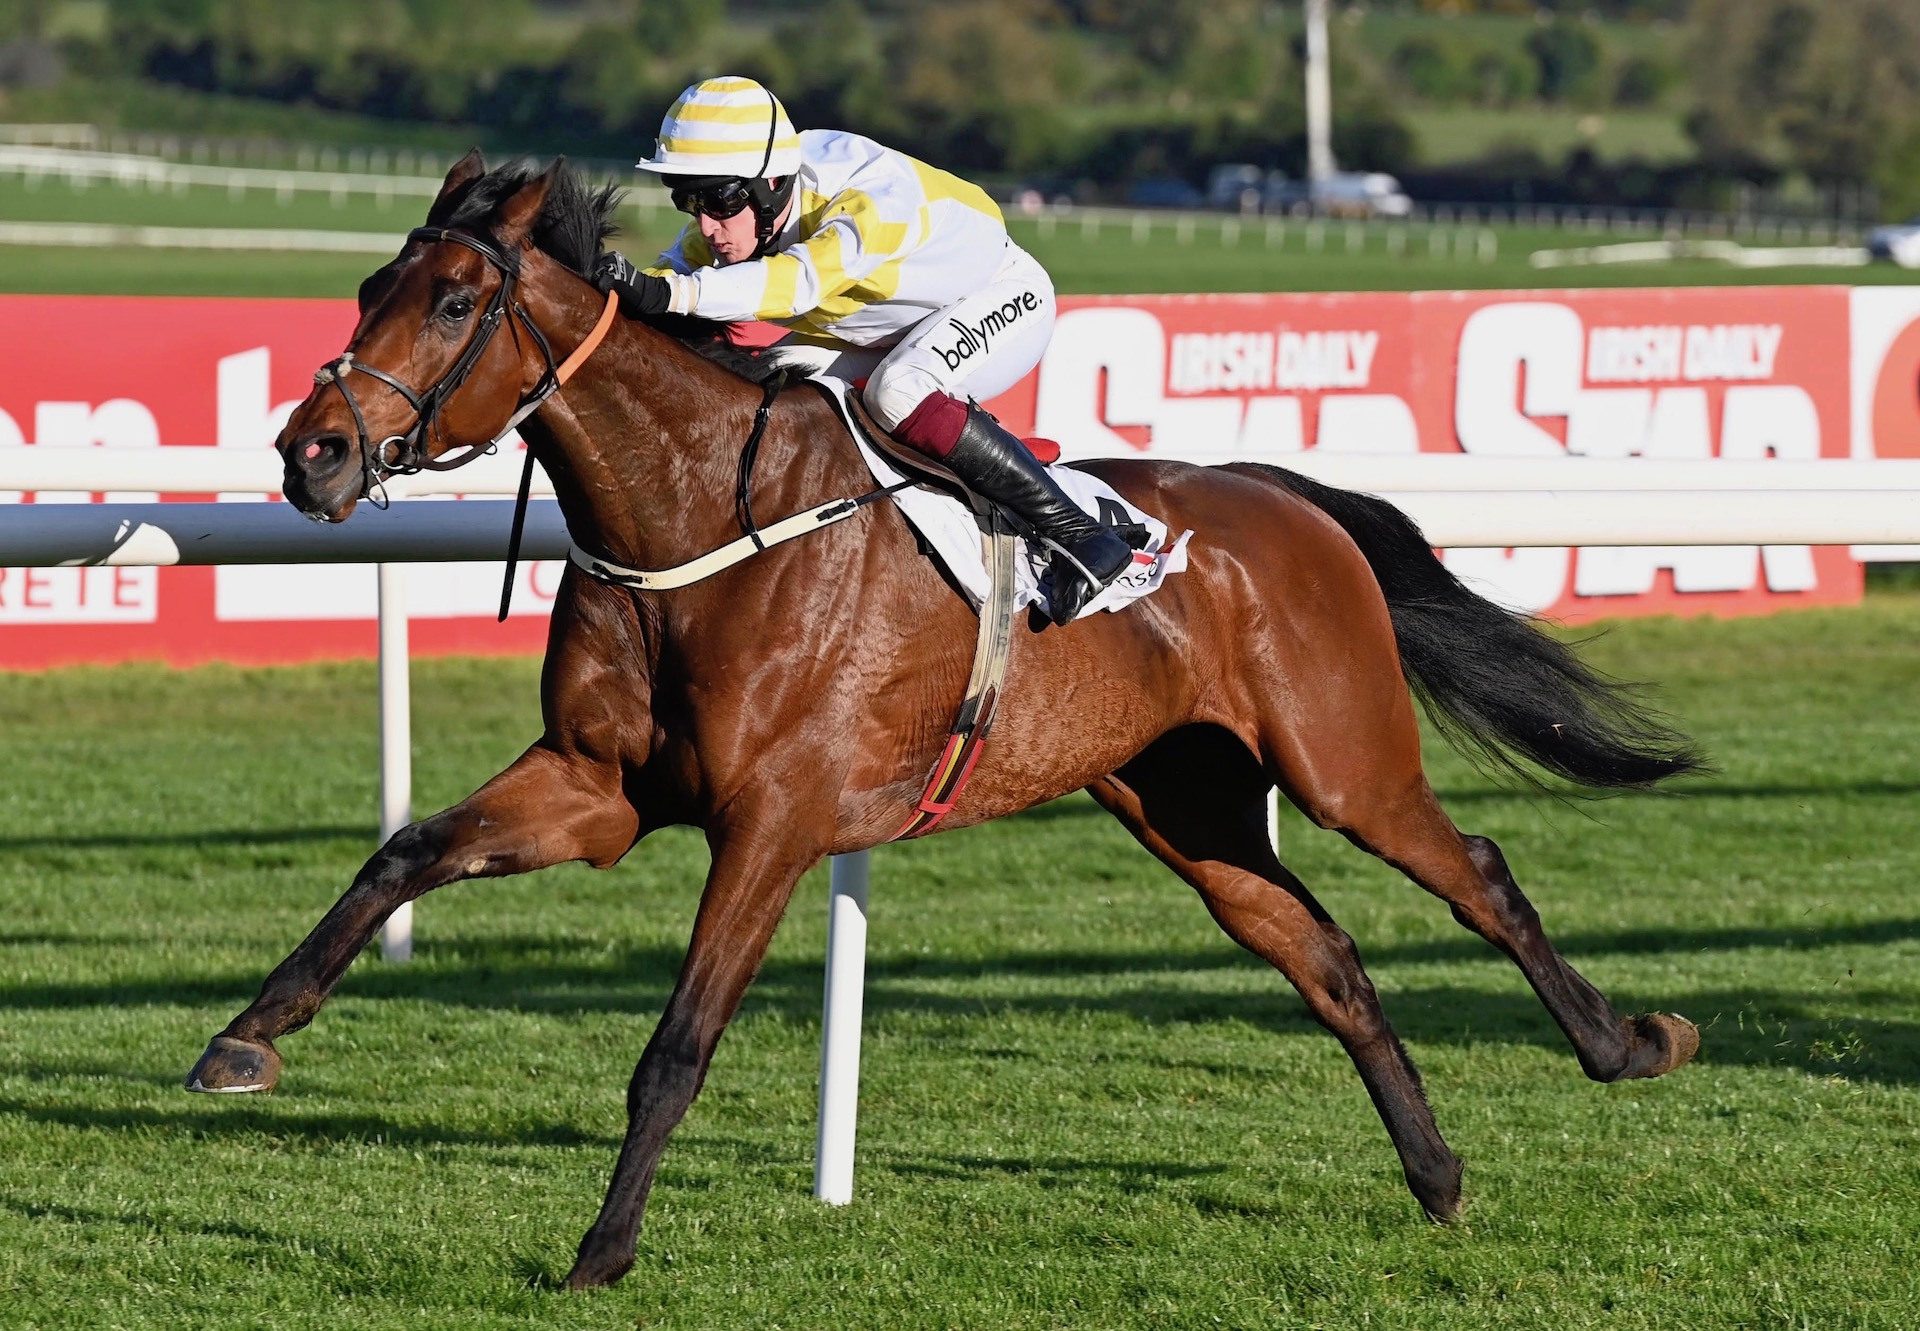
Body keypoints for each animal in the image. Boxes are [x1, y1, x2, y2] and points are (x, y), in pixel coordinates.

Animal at [187, 155, 1704, 1290]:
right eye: (371, 286)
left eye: (453, 302)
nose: (311, 452)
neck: (697, 519)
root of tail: (1286, 496)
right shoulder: (597, 787)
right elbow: (405, 849)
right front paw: (247, 1037)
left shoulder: (773, 821)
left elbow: (676, 1044)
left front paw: (600, 1249)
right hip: (1190, 805)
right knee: (1322, 956)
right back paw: (1438, 1174)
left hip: (1343, 762)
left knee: (1480, 876)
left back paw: (1626, 1044)